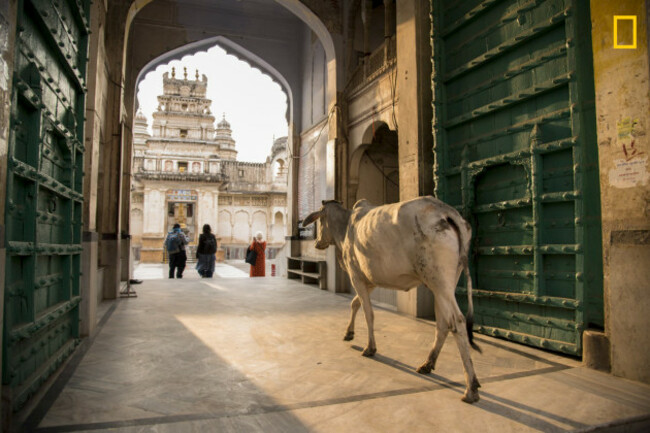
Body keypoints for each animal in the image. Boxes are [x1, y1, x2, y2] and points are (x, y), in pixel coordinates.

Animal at [304, 196, 480, 402]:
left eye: (320, 221)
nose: (317, 243)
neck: (345, 227)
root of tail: (446, 211)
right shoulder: (369, 280)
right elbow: (355, 303)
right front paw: (349, 333)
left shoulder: (356, 277)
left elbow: (368, 313)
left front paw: (370, 347)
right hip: (444, 283)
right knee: (443, 323)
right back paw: (428, 363)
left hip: (438, 279)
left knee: (457, 321)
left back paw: (470, 388)